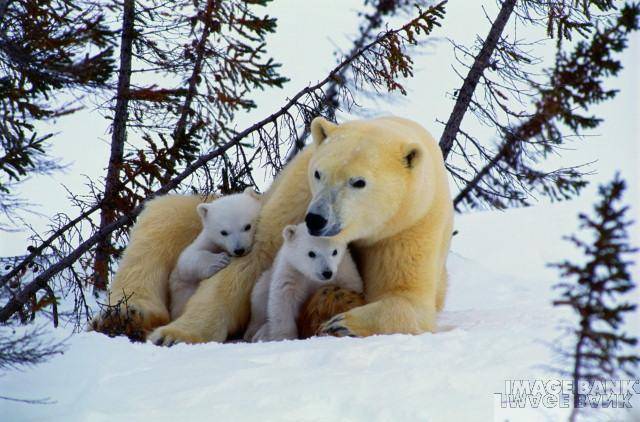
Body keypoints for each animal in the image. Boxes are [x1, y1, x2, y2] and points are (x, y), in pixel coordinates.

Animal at [169, 189, 264, 320]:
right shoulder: (208, 240)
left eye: (247, 226)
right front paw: (219, 261)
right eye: (223, 232)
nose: (239, 250)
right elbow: (185, 261)